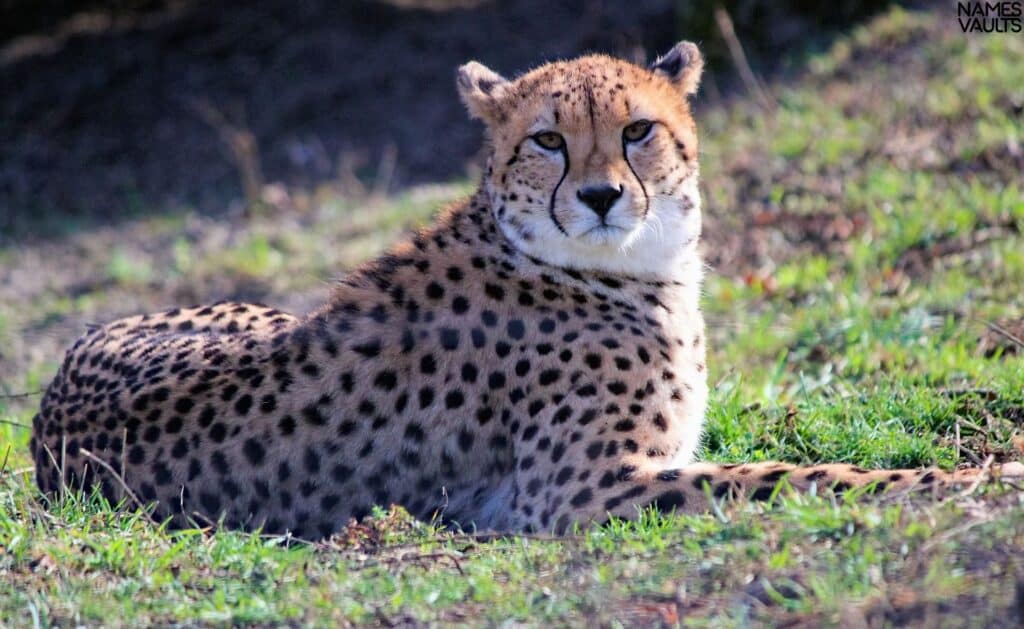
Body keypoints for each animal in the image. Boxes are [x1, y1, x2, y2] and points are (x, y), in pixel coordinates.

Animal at [32, 42, 1024, 540]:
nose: (601, 195)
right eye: (548, 139)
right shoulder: (581, 489)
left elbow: (787, 462)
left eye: (637, 130)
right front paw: (974, 478)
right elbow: (804, 477)